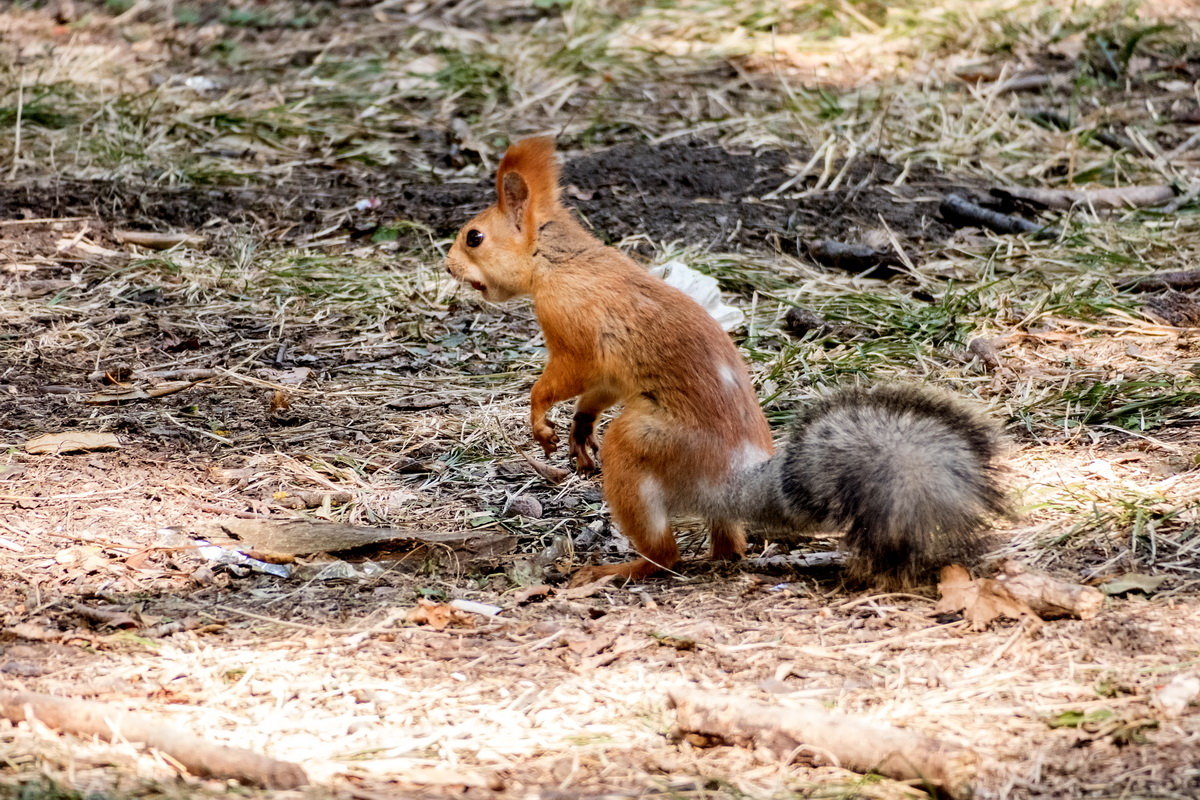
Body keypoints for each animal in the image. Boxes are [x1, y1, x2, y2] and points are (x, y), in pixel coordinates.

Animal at [444, 137, 1003, 587]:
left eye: (475, 237)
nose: (447, 266)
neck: (559, 262)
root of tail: (729, 480)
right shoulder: (607, 373)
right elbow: (594, 395)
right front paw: (580, 431)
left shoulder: (575, 333)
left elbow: (560, 379)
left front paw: (540, 420)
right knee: (728, 545)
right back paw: (715, 555)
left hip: (643, 443)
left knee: (664, 555)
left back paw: (619, 568)